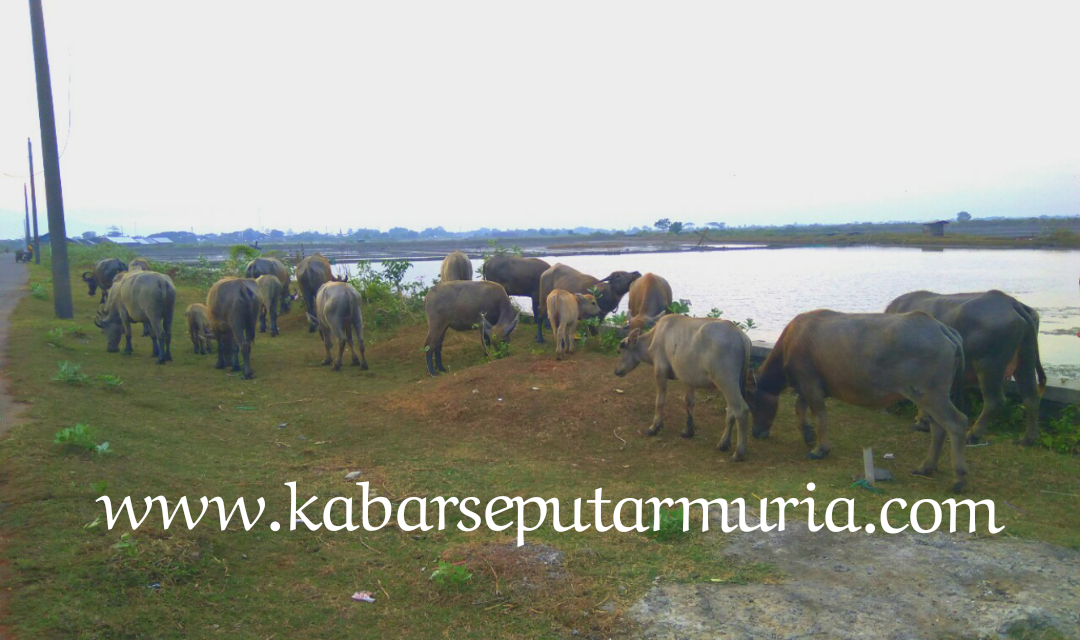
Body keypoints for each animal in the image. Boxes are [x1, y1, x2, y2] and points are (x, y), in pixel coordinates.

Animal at [613, 315, 756, 459]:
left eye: (619, 351)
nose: (616, 371)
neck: (651, 340)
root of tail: (741, 337)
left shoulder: (660, 371)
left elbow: (660, 401)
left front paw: (654, 426)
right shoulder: (688, 379)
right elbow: (689, 402)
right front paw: (688, 431)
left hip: (726, 381)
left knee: (741, 410)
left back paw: (738, 452)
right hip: (735, 383)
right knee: (731, 411)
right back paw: (723, 443)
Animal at [751, 308, 972, 489]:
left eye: (754, 403)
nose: (755, 432)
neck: (792, 340)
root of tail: (941, 328)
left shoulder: (810, 384)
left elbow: (820, 416)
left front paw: (819, 449)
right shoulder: (808, 387)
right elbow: (799, 408)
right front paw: (808, 435)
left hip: (931, 395)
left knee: (957, 423)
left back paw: (959, 479)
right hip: (928, 397)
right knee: (938, 428)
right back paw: (926, 467)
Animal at [885, 289, 1045, 444]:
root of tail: (1011, 302)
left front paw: (921, 422)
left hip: (988, 364)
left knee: (994, 401)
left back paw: (973, 435)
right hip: (1025, 359)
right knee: (1031, 395)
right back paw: (1028, 439)